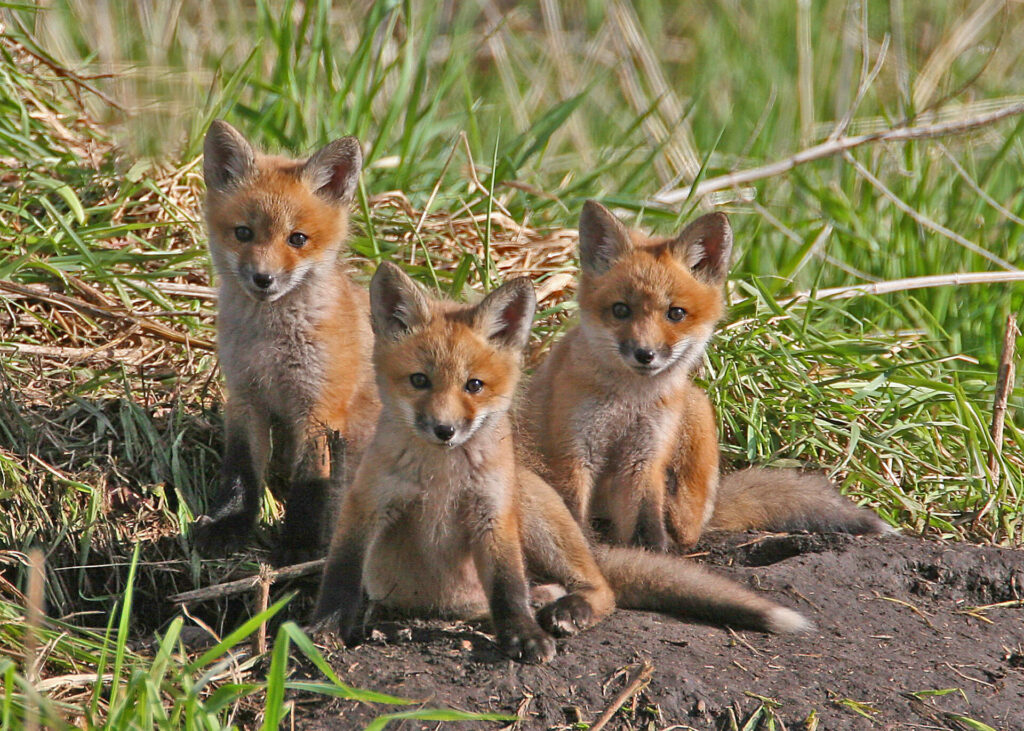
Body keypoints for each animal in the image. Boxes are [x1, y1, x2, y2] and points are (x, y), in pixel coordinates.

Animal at [192, 120, 379, 562]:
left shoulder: (319, 410)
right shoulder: (246, 397)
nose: (264, 279)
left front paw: (300, 546)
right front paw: (228, 525)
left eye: (297, 239)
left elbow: (310, 486)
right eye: (243, 233)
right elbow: (241, 474)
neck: (271, 347)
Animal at [312, 261, 809, 664]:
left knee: (601, 589)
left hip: (534, 510)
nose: (444, 430)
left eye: (474, 385)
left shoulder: (494, 517)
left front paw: (522, 634)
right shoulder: (365, 505)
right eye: (419, 381)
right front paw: (327, 625)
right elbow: (341, 573)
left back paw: (568, 607)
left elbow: (508, 588)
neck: (440, 478)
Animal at [519, 200, 890, 552]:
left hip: (695, 411)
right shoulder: (573, 450)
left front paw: (654, 558)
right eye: (620, 310)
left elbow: (645, 522)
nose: (644, 354)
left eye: (676, 313)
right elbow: (570, 510)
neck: (629, 401)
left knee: (686, 527)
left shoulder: (645, 457)